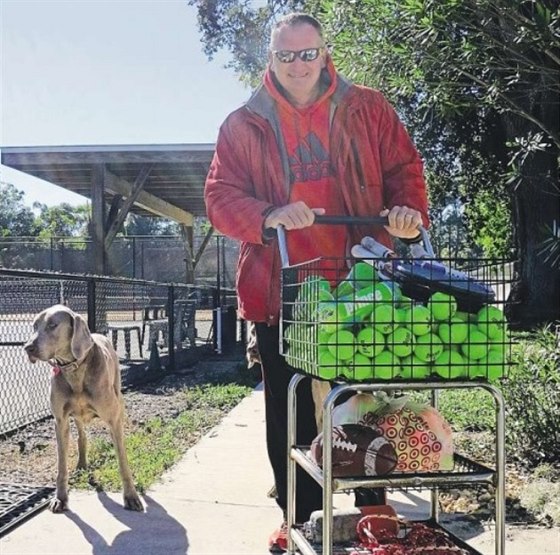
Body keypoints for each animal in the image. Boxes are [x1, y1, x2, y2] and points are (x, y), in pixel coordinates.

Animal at [24, 304, 143, 512]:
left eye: (53, 325)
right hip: (77, 416)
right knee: (82, 435)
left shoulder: (113, 420)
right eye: (34, 326)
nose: (27, 347)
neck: (74, 369)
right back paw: (81, 463)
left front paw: (131, 496)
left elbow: (122, 460)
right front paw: (60, 498)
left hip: (118, 395)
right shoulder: (60, 421)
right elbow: (61, 465)